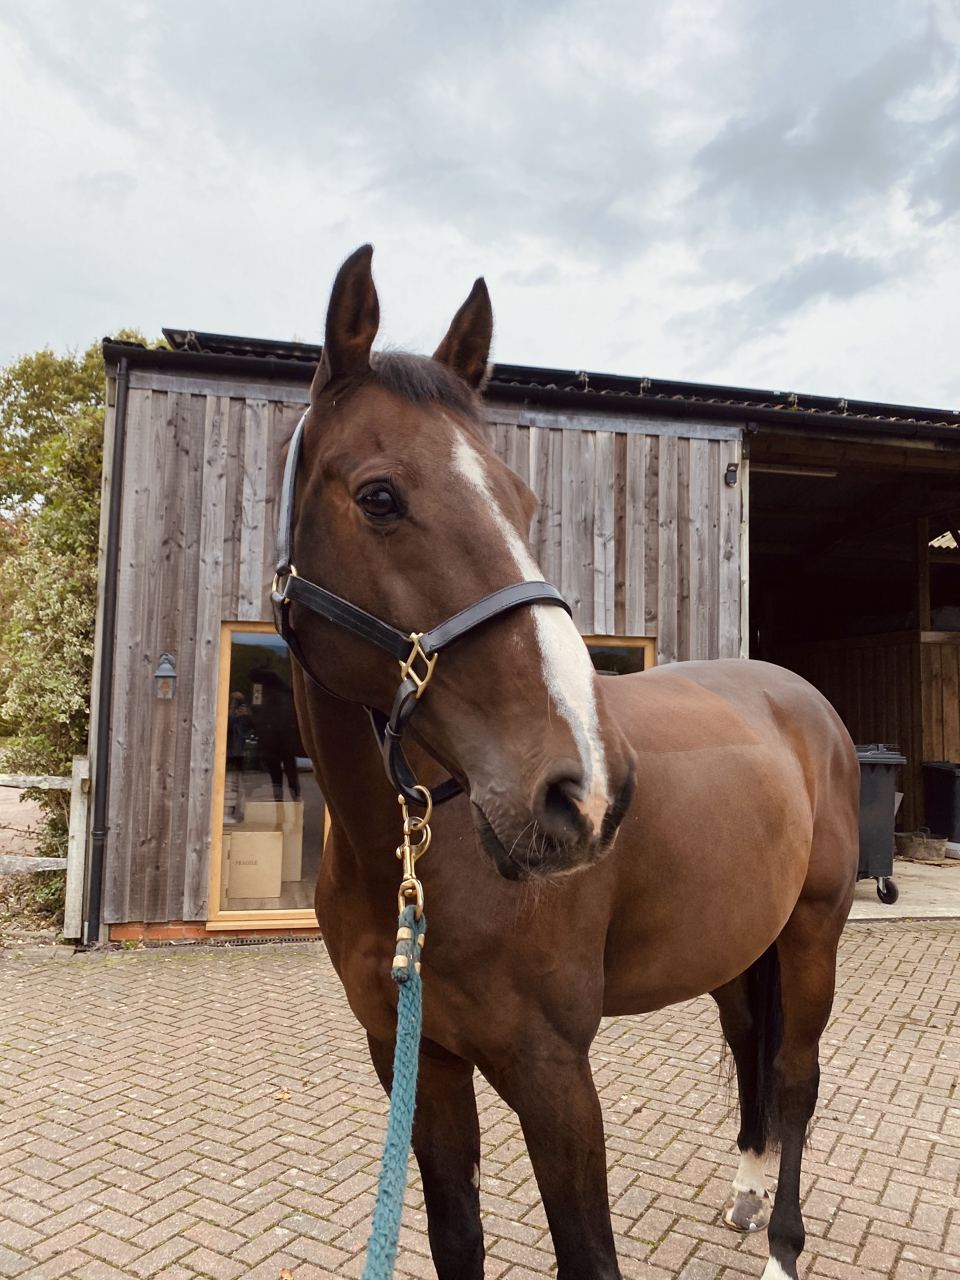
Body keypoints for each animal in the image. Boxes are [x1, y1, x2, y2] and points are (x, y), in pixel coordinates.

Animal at [282, 245, 860, 1280]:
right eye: (380, 496)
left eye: (523, 501)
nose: (584, 792)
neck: (417, 864)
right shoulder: (415, 1056)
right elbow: (456, 1237)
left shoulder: (552, 1071)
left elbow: (589, 1254)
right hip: (737, 943)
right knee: (751, 1051)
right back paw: (747, 1190)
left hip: (811, 935)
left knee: (795, 1079)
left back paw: (782, 1247)